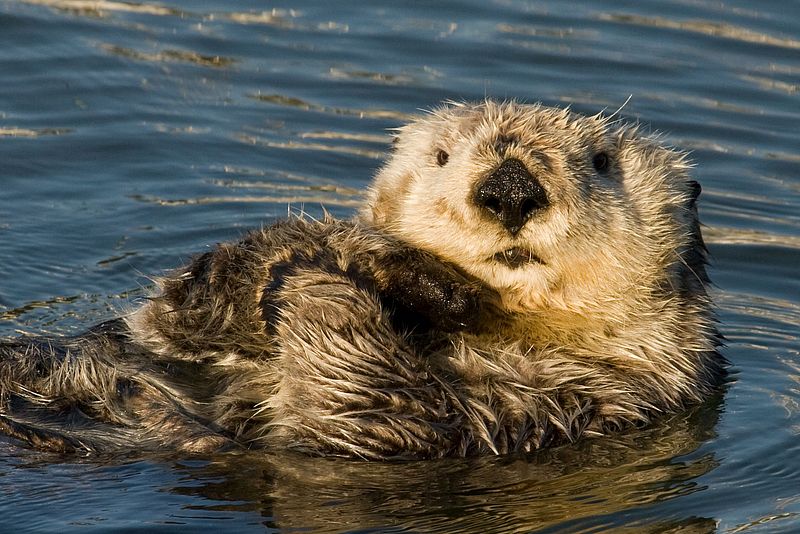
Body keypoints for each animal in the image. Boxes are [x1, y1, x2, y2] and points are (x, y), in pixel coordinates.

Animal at [0, 101, 724, 458]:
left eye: (601, 162)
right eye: (442, 157)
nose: (512, 189)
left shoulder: (597, 394)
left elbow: (373, 404)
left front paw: (321, 272)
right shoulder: (166, 332)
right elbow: (174, 314)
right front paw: (336, 246)